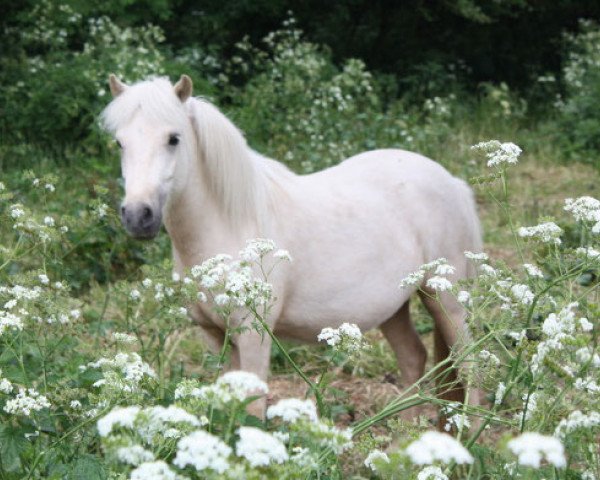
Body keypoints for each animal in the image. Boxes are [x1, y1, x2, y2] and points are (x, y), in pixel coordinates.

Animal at [103, 73, 482, 414]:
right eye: (120, 143)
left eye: (173, 139)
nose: (138, 215)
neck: (231, 223)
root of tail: (453, 183)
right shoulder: (214, 336)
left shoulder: (254, 337)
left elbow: (253, 410)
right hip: (394, 307)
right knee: (413, 358)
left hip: (446, 303)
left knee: (470, 366)